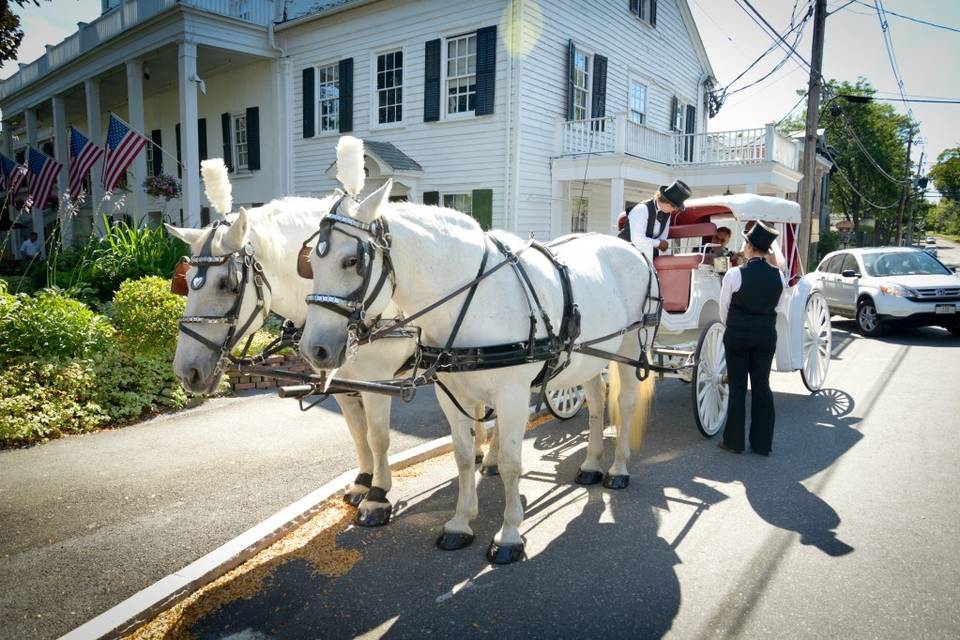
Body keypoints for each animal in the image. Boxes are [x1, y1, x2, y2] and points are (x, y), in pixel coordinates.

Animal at [167, 159, 496, 524]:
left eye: (228, 283)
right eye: (184, 282)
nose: (187, 371)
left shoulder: (375, 382)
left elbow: (378, 437)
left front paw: (378, 497)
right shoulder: (343, 384)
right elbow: (357, 434)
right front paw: (363, 482)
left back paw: (492, 459)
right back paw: (479, 451)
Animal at [300, 138, 656, 564]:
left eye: (352, 260)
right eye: (310, 261)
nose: (314, 348)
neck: (474, 297)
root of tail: (630, 249)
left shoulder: (513, 396)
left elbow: (512, 463)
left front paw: (509, 534)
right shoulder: (452, 394)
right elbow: (463, 455)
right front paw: (460, 522)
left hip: (630, 345)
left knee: (626, 404)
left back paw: (617, 469)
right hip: (590, 357)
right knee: (599, 403)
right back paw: (590, 465)